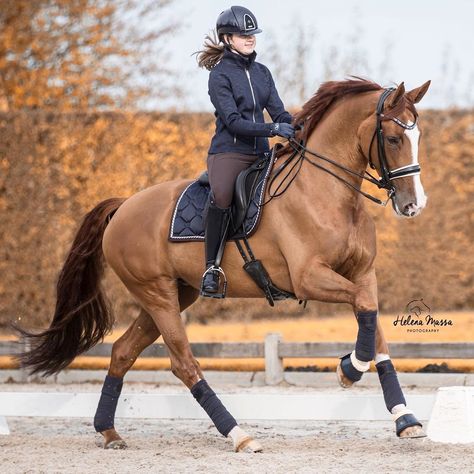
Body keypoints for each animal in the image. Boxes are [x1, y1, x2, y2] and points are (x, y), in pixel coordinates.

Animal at [20, 78, 432, 452]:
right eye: (393, 139)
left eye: (417, 137)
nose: (414, 205)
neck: (328, 193)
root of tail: (123, 206)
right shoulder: (309, 278)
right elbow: (364, 310)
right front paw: (349, 369)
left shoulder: (362, 274)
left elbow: (373, 322)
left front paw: (405, 418)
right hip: (157, 294)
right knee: (183, 363)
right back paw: (239, 434)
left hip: (174, 294)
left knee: (123, 352)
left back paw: (109, 432)